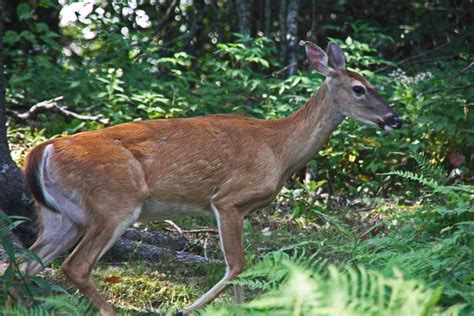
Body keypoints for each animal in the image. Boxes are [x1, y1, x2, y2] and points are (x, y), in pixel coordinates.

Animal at [14, 41, 400, 314]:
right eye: (359, 88)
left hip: (63, 217)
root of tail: (41, 150)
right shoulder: (227, 199)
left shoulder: (245, 210)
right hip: (115, 202)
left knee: (21, 263)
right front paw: (186, 309)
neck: (279, 149)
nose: (394, 119)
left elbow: (244, 269)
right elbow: (237, 266)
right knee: (75, 267)